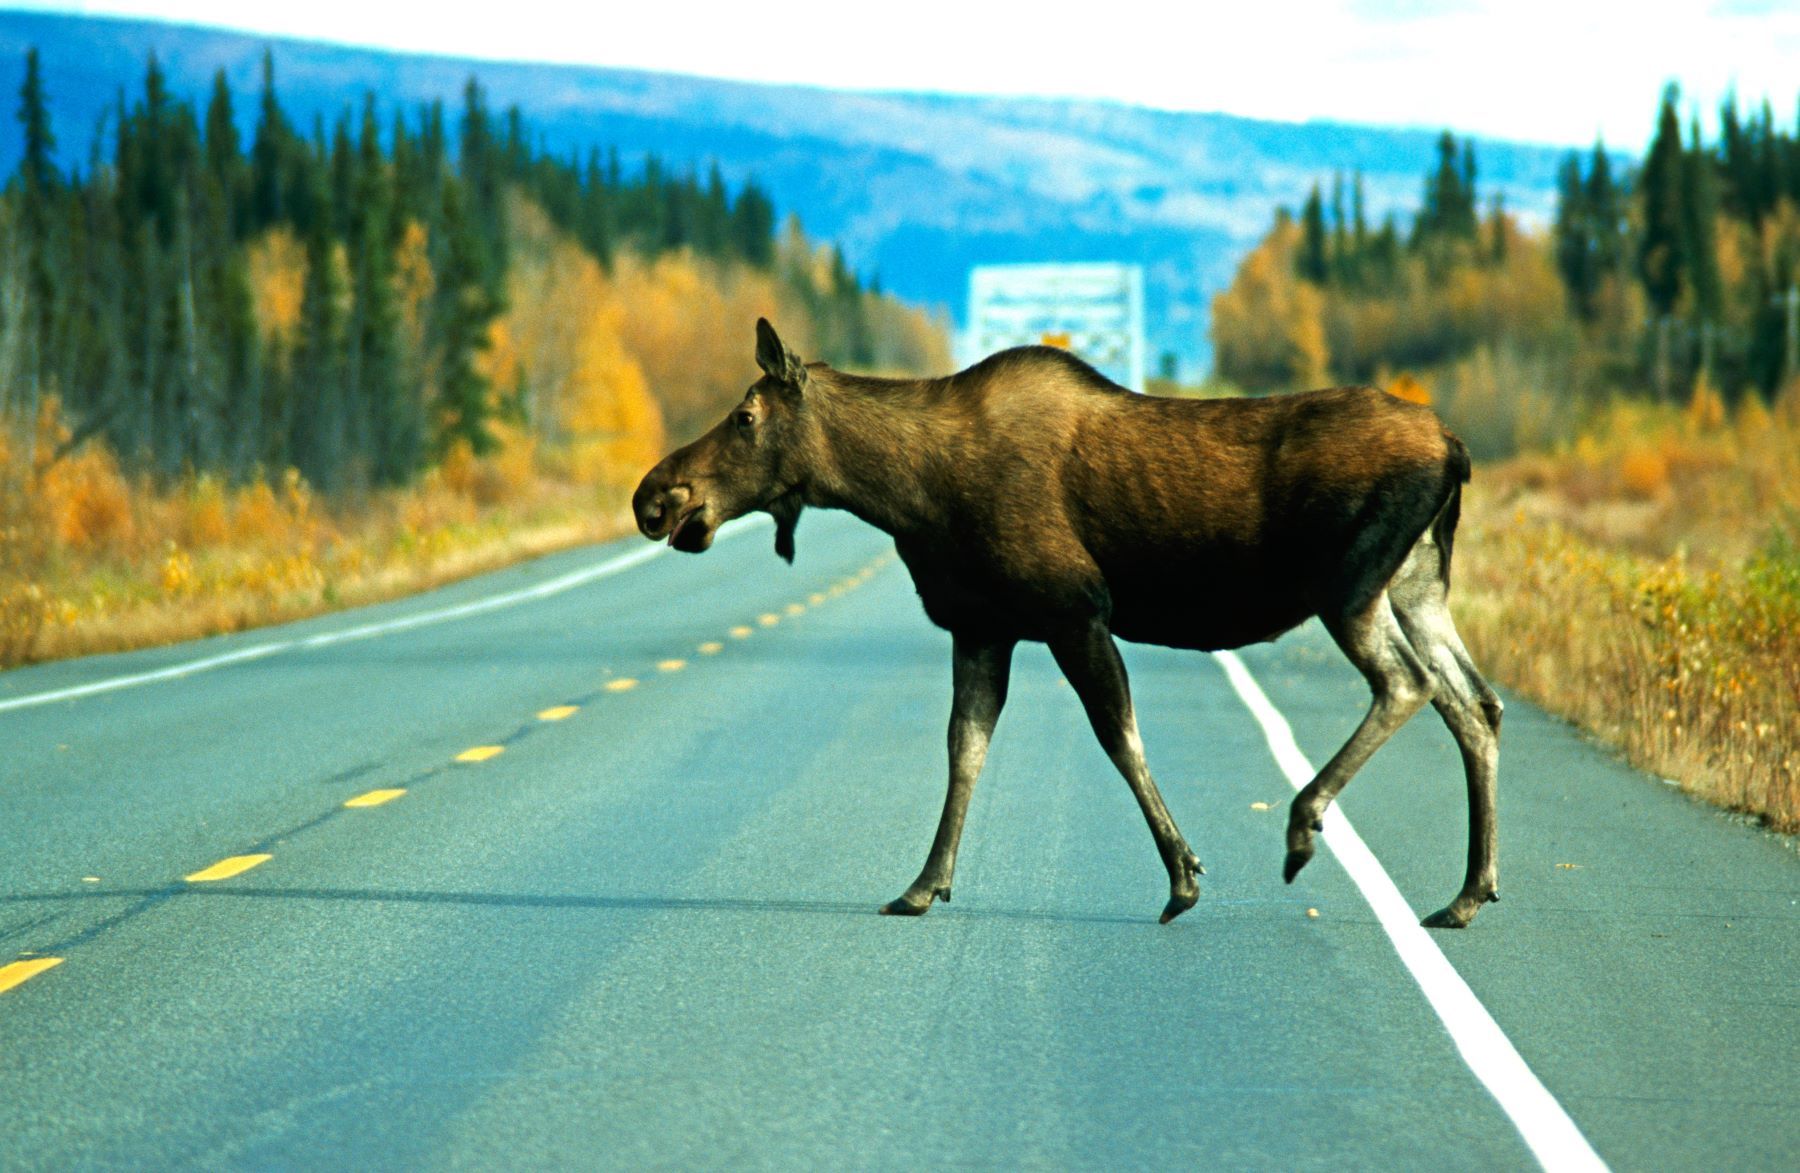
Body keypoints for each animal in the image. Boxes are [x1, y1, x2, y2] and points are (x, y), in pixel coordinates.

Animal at [633, 320, 1504, 928]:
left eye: (745, 416)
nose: (656, 496)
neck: (908, 494)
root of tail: (1457, 446)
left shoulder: (1073, 609)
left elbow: (1119, 735)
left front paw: (1183, 876)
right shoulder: (983, 625)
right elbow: (964, 747)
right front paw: (923, 884)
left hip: (1351, 586)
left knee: (1409, 683)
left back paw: (1304, 821)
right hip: (1416, 584)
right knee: (1476, 704)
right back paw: (1467, 892)